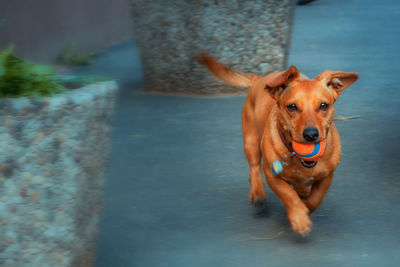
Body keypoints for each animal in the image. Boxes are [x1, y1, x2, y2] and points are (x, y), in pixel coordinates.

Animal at [200, 54, 360, 234]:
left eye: (323, 105)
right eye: (292, 106)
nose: (311, 134)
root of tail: (260, 79)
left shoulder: (327, 176)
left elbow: (316, 199)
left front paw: (305, 209)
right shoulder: (272, 176)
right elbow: (288, 195)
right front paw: (299, 217)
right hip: (251, 143)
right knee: (254, 168)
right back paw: (258, 193)